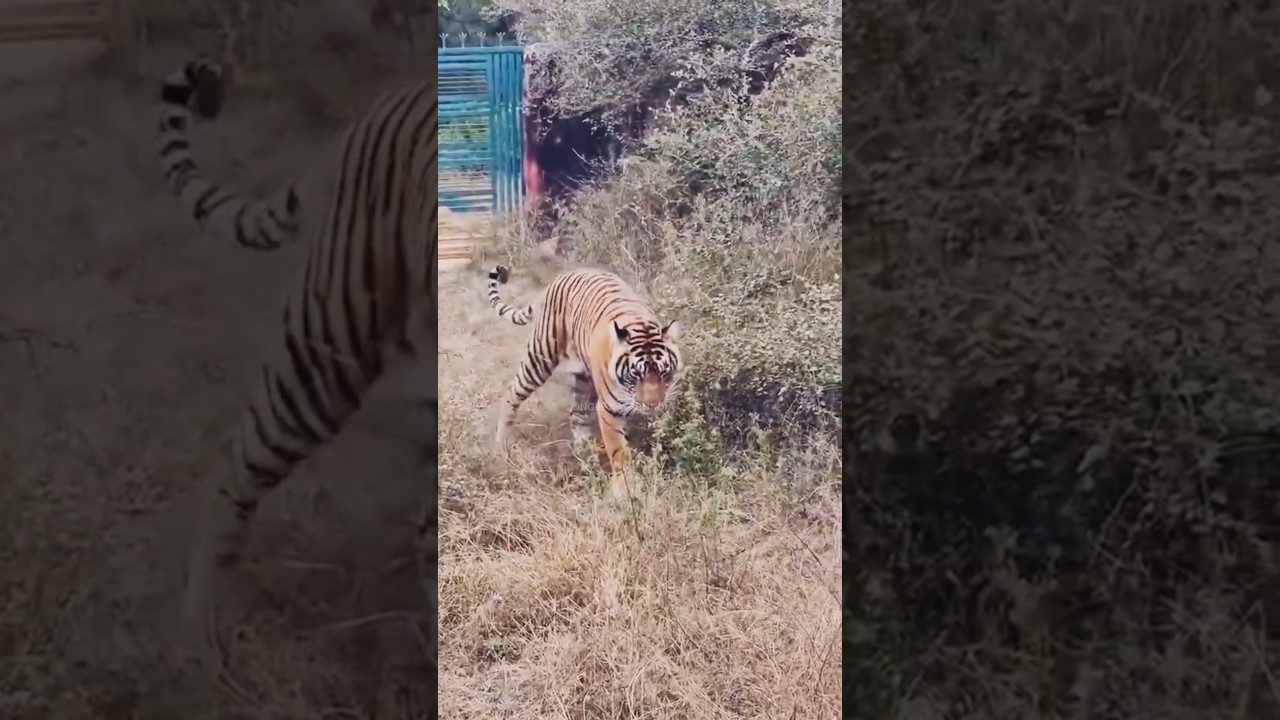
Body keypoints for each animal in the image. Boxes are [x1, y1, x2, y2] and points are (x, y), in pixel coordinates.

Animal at [485, 264, 682, 498]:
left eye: (664, 373)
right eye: (636, 375)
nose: (652, 404)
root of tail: (559, 278)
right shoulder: (609, 410)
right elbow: (619, 451)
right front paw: (626, 490)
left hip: (582, 380)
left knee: (577, 417)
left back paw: (588, 461)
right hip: (540, 357)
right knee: (512, 394)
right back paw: (500, 447)